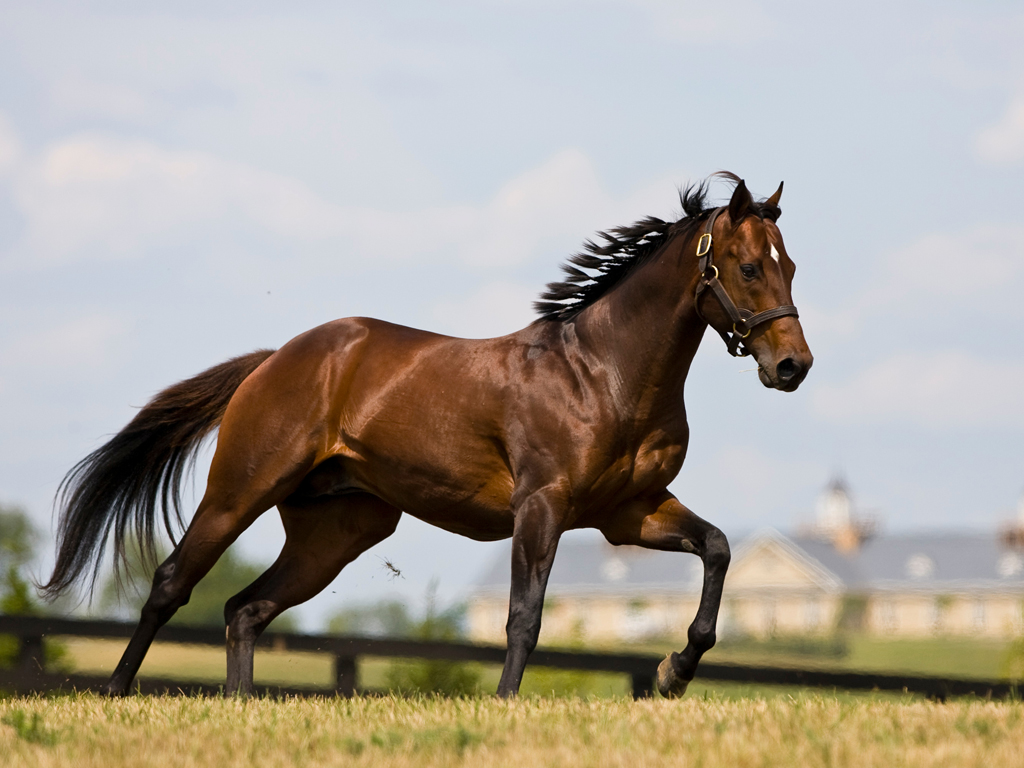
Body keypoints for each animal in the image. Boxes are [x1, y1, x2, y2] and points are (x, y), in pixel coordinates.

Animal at [42, 172, 812, 698]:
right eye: (749, 266)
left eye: (792, 265)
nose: (793, 366)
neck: (602, 374)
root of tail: (274, 360)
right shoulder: (543, 506)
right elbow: (524, 615)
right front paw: (506, 704)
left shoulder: (629, 513)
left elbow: (717, 549)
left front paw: (672, 672)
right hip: (240, 491)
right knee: (172, 584)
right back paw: (115, 693)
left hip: (338, 531)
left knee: (244, 609)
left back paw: (238, 704)